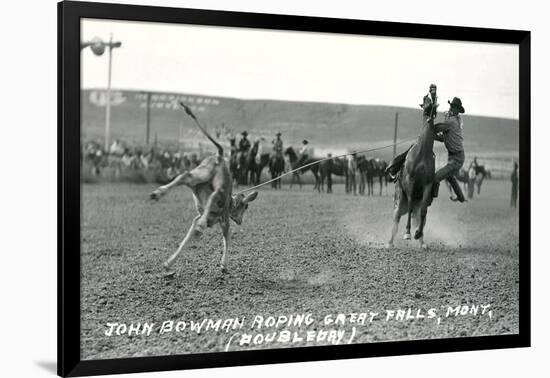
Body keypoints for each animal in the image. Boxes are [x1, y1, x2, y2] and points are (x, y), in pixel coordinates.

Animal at [390, 116, 438, 250]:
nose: (430, 118)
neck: (423, 151)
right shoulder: (410, 181)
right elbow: (410, 204)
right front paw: (407, 233)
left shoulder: (427, 184)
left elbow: (423, 210)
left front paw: (417, 234)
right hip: (399, 205)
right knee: (396, 222)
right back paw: (390, 243)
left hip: (416, 209)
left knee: (419, 218)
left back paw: (422, 241)